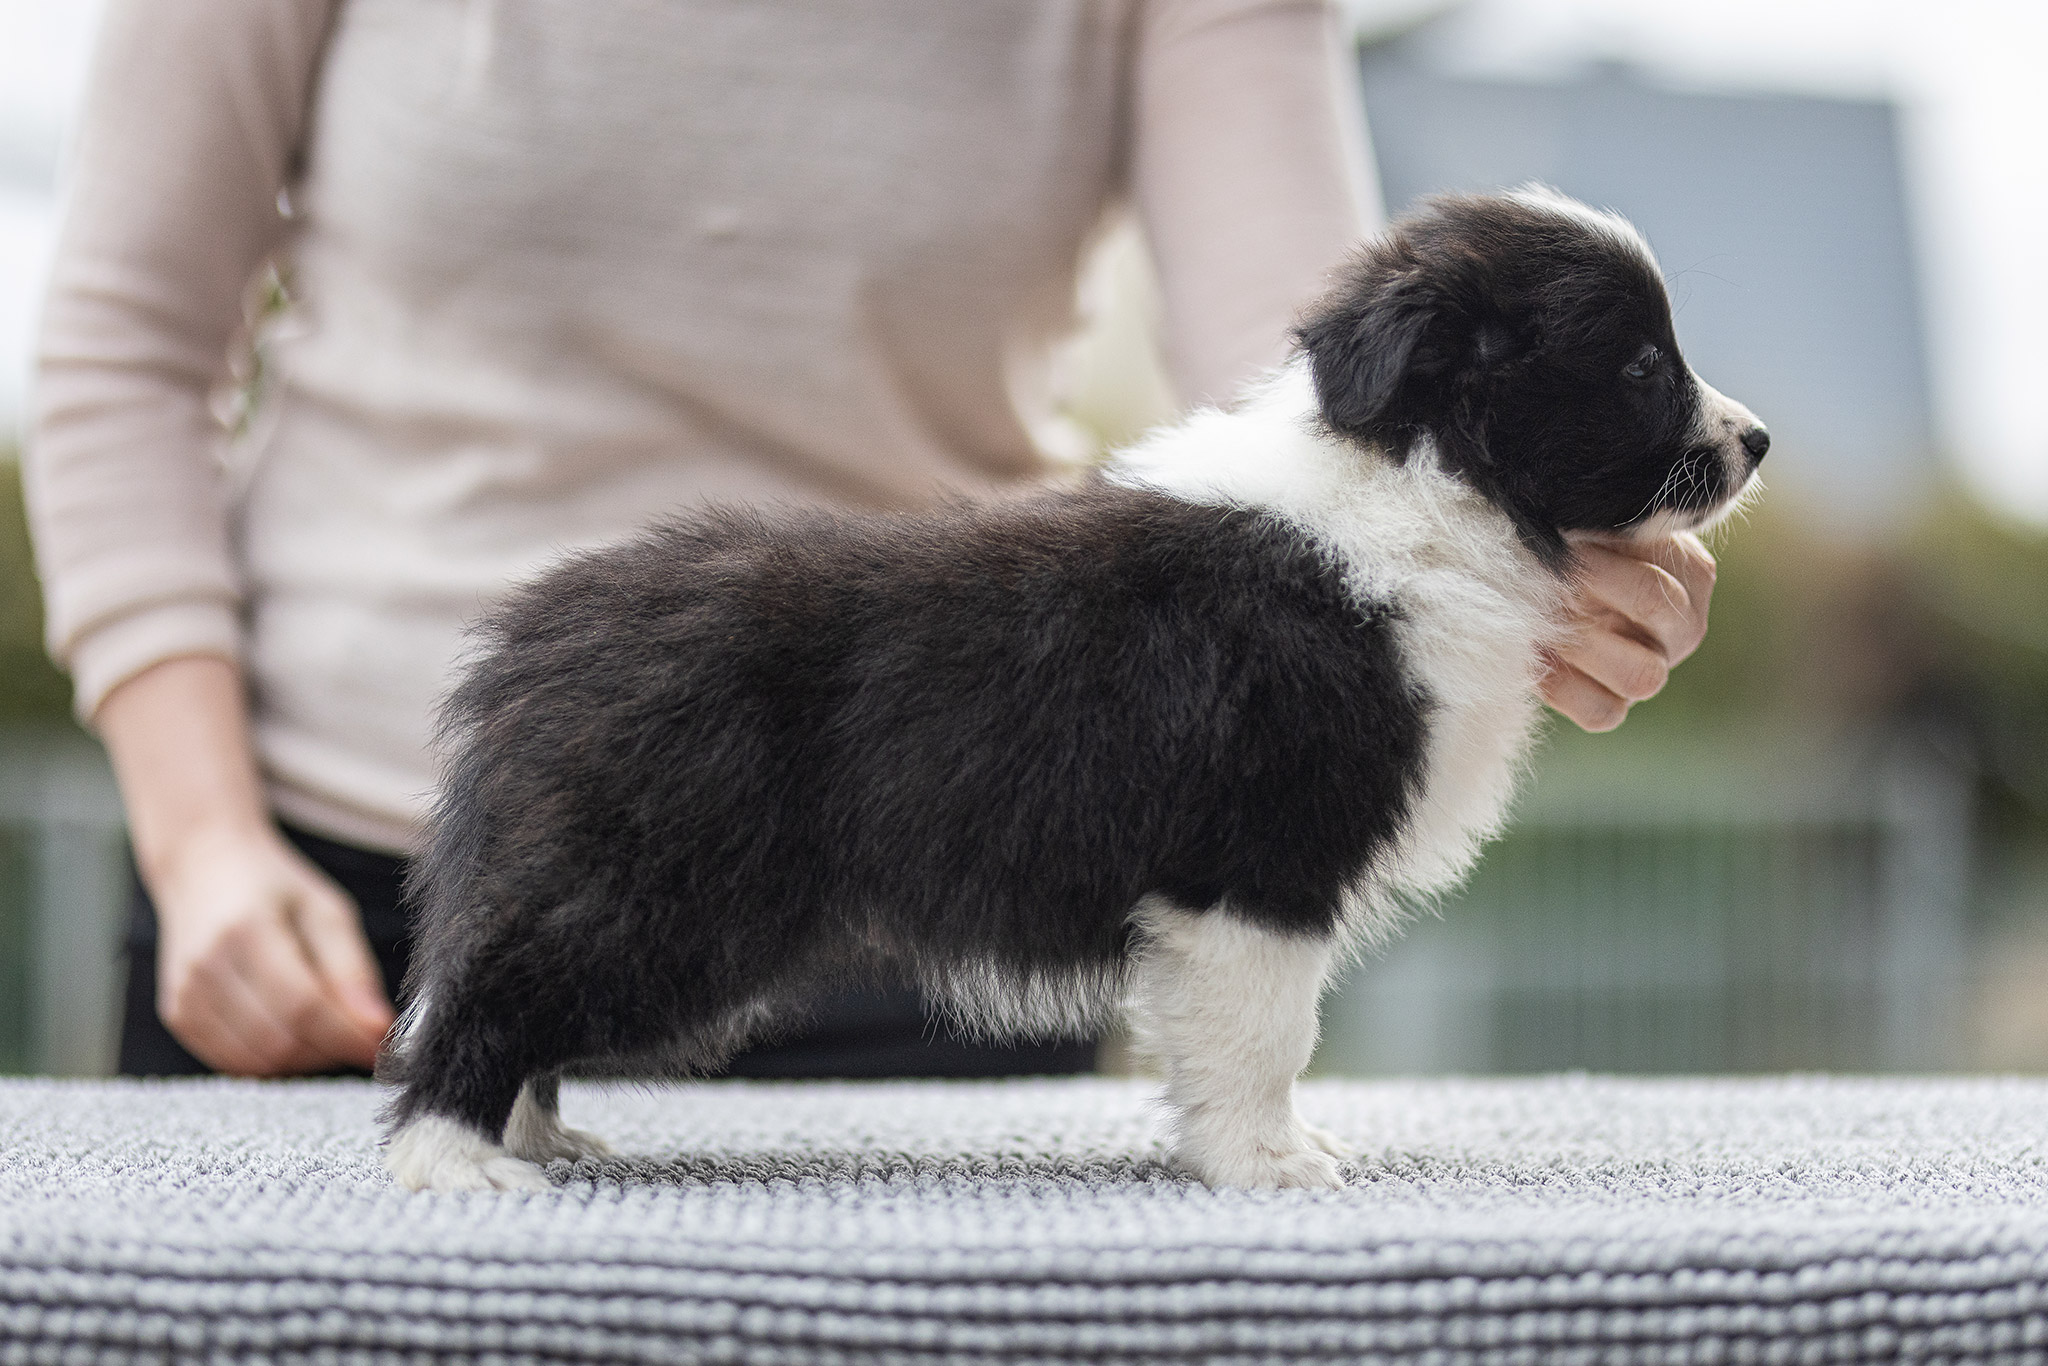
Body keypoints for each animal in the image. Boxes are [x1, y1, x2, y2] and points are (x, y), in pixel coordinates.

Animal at [380, 187, 1761, 1187]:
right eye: (1640, 367)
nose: (1754, 442)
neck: (1423, 479)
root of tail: (536, 633)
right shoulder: (1259, 858)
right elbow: (1270, 1031)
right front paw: (1267, 1164)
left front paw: (1263, 1149)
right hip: (671, 888)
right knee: (495, 986)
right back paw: (457, 1160)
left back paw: (533, 1134)